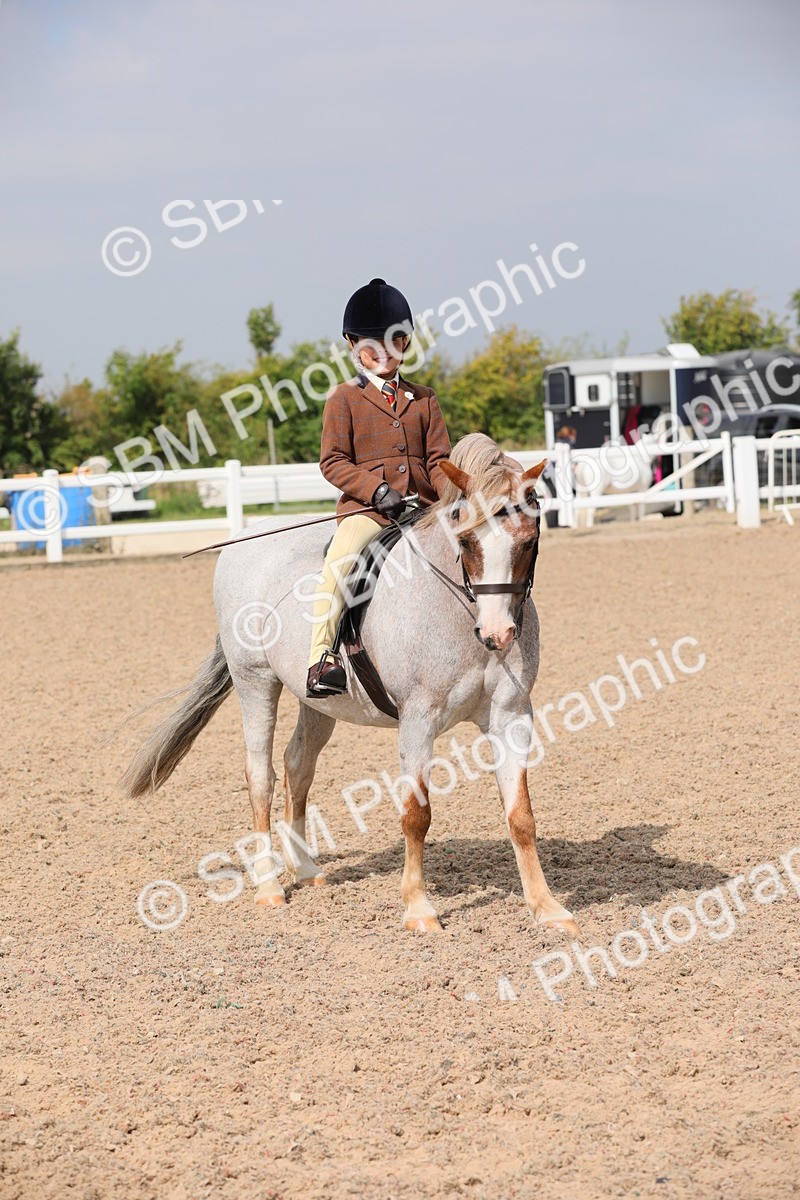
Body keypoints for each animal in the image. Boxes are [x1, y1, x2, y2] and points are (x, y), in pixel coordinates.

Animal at [122, 433, 579, 938]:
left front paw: (547, 908)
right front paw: (419, 909)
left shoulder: (512, 714)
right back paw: (268, 886)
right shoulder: (418, 720)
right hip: (255, 682)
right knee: (261, 774)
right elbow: (416, 815)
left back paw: (305, 869)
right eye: (466, 539)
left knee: (298, 765)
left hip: (319, 701)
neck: (460, 609)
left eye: (529, 541)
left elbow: (521, 816)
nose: (497, 635)